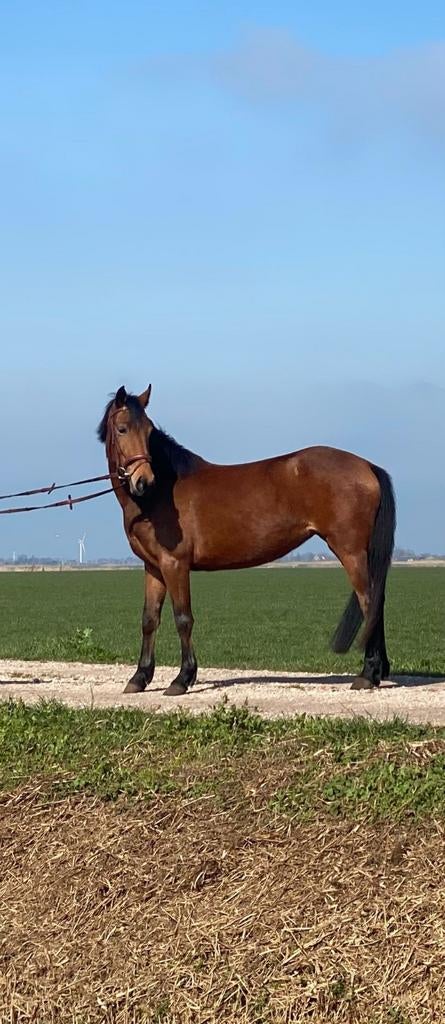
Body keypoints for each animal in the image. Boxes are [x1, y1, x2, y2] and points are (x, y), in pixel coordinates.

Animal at [98, 385, 396, 696]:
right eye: (122, 429)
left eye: (148, 432)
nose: (144, 481)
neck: (161, 494)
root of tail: (368, 466)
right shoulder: (154, 567)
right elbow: (149, 619)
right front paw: (139, 677)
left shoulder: (175, 564)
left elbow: (183, 618)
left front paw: (182, 678)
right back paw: (377, 671)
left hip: (351, 551)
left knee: (369, 602)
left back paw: (367, 675)